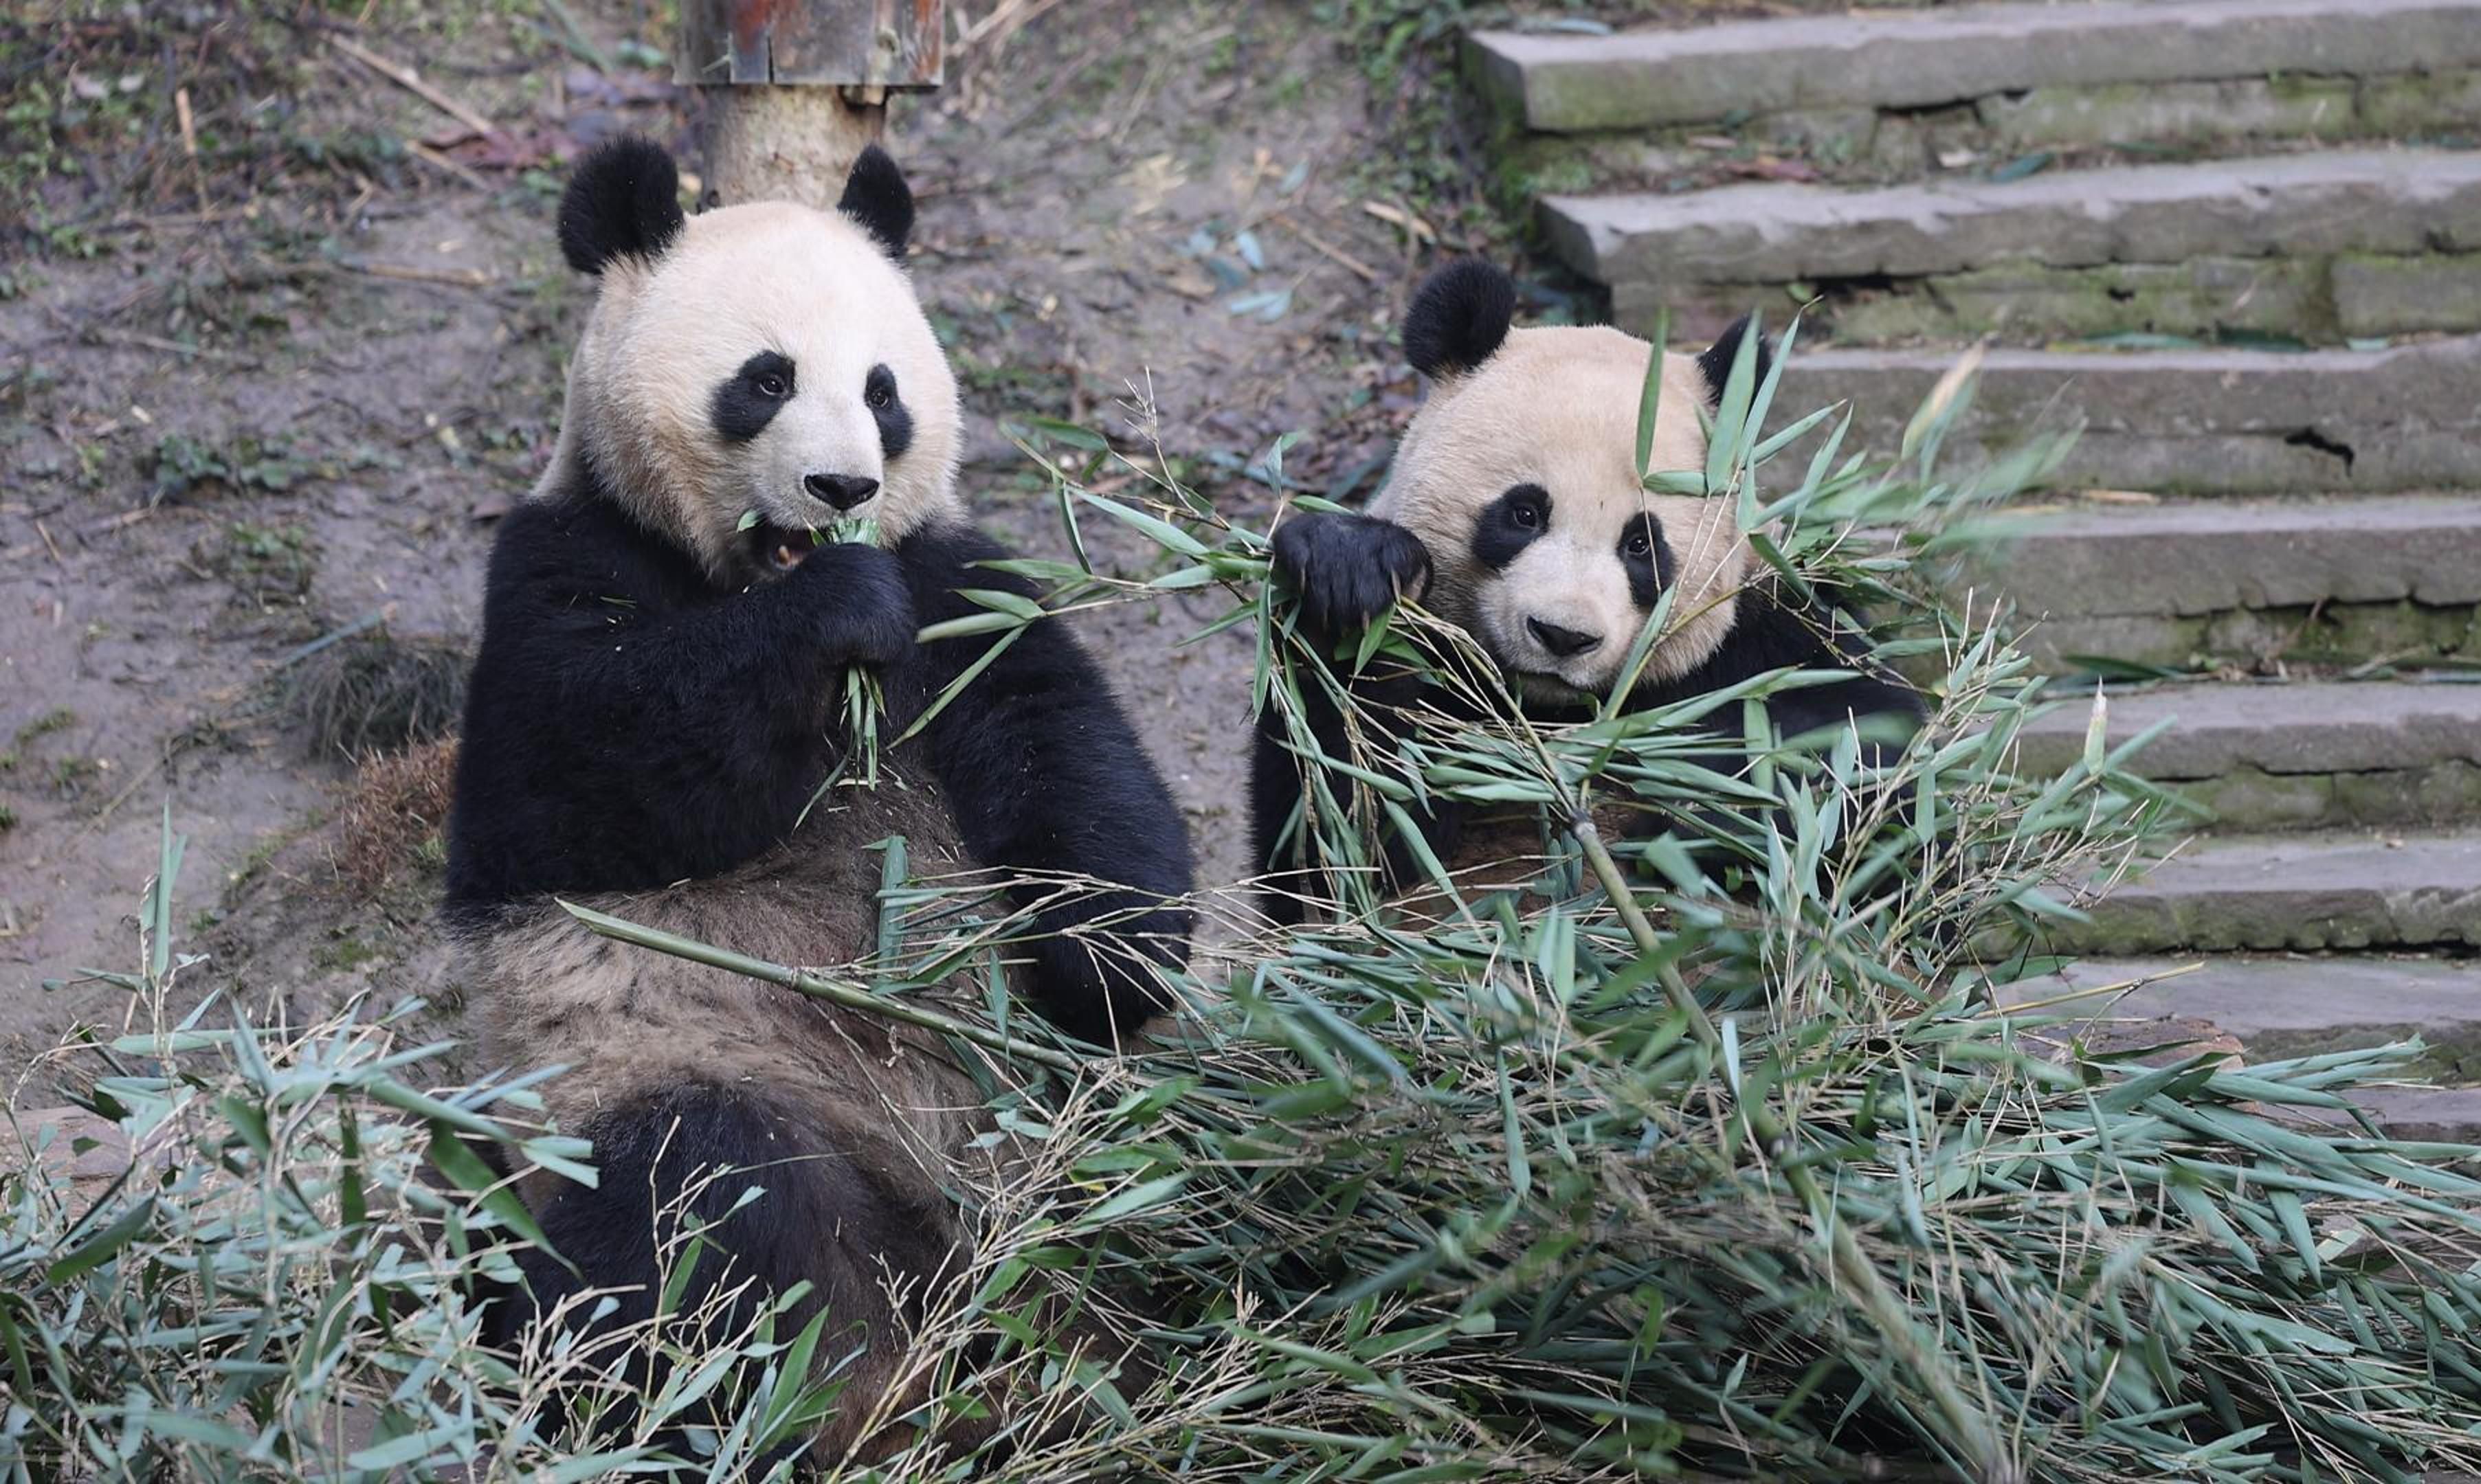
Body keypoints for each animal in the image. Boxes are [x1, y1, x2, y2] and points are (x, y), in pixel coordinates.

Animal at [452, 139, 1196, 1469]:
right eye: (766, 379)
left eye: (885, 391)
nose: (842, 484)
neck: (739, 570)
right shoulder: (560, 565)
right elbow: (580, 778)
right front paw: (830, 613)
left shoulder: (959, 586)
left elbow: (1067, 746)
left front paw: (1112, 953)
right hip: (690, 1075)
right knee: (709, 1212)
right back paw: (804, 1409)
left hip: (1070, 1129)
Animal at [1260, 262, 1915, 923]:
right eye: (1524, 514)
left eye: (1641, 544)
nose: (1563, 636)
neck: (1560, 713)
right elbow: (1350, 838)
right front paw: (1351, 577)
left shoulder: (1767, 626)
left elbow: (1865, 759)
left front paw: (1695, 813)